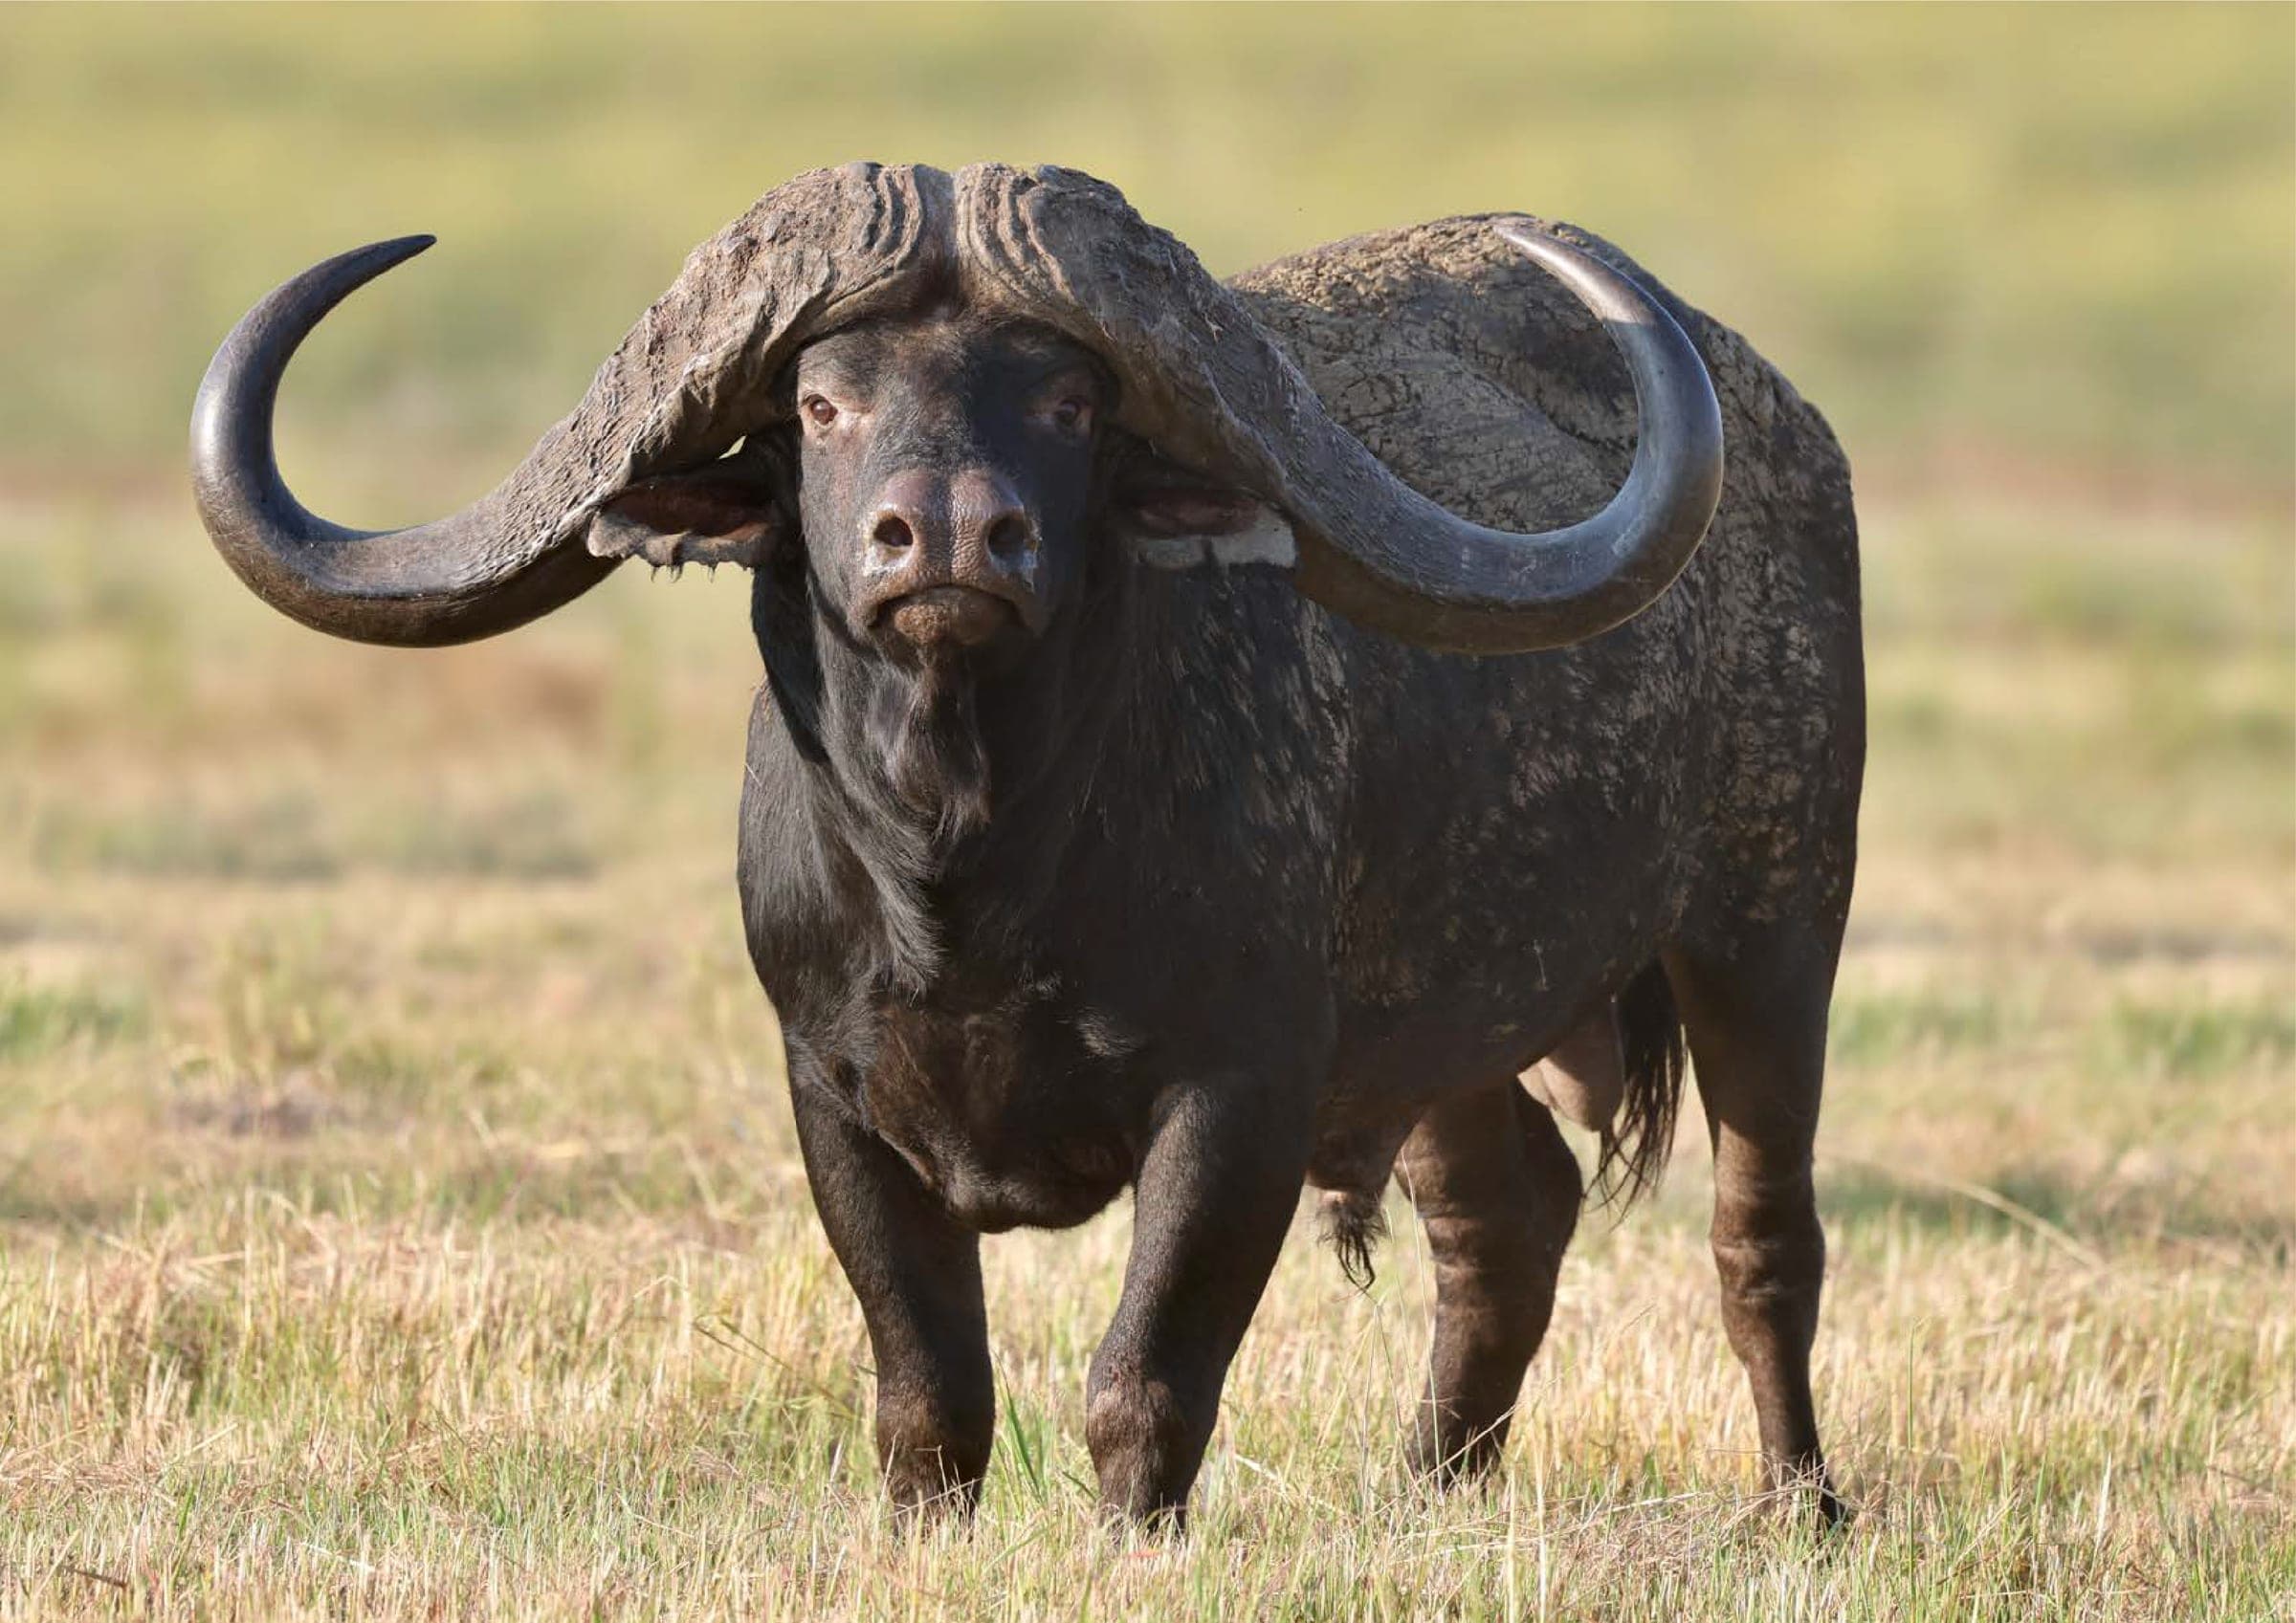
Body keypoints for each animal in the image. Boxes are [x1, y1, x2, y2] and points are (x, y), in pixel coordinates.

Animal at [191, 162, 1862, 1527]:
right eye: (821, 404)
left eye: (1067, 402)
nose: (947, 536)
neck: (974, 881)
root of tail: (1789, 433)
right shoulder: (831, 1093)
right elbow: (929, 1394)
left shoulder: (1241, 1091)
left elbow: (1146, 1379)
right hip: (1449, 1026)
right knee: (1505, 1214)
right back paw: (1429, 1492)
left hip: (1772, 926)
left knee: (1760, 1232)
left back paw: (1799, 1504)